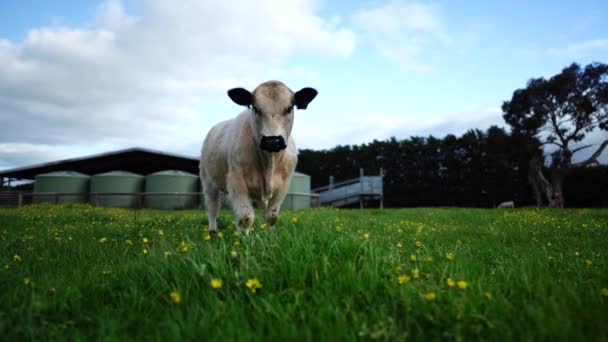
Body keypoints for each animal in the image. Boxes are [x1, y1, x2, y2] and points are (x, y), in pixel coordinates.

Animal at [200, 81, 318, 234]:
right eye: (256, 108)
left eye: (289, 108)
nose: (272, 140)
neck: (269, 163)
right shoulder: (236, 181)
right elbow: (245, 217)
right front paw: (244, 239)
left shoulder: (283, 186)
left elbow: (271, 217)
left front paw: (270, 237)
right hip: (208, 181)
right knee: (212, 208)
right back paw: (213, 231)